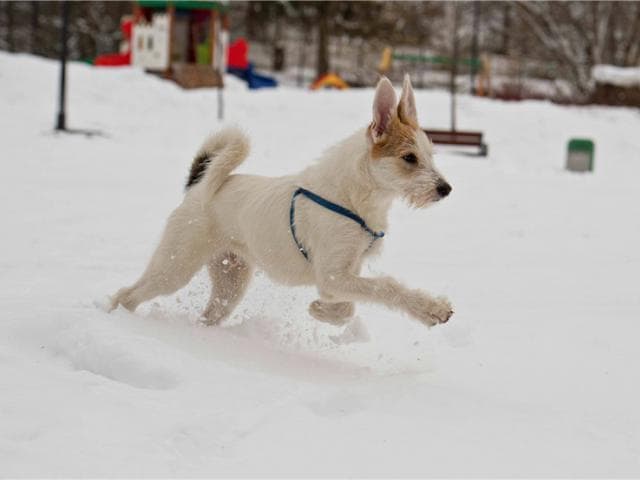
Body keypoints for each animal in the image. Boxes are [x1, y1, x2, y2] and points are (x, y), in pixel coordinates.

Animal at [107, 75, 452, 328]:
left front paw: (322, 310)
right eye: (409, 158)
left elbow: (346, 306)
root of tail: (199, 186)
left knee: (208, 314)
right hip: (174, 266)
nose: (445, 189)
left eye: (430, 154)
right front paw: (431, 308)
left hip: (230, 282)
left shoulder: (343, 275)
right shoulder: (334, 274)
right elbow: (385, 287)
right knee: (127, 295)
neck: (354, 195)